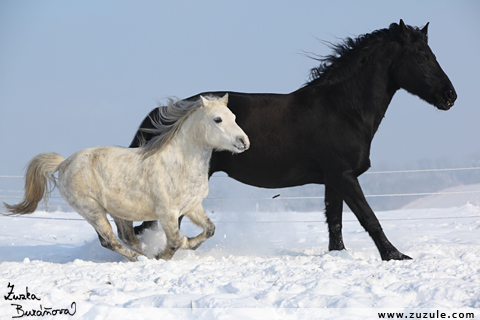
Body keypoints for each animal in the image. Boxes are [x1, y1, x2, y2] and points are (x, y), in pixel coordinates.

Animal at [4, 94, 251, 262]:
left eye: (234, 117)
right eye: (217, 119)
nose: (244, 142)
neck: (179, 163)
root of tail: (64, 163)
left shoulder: (192, 207)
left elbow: (209, 230)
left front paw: (186, 245)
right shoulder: (167, 213)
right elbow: (173, 241)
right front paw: (166, 254)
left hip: (119, 212)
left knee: (127, 237)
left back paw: (146, 254)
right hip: (92, 210)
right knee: (109, 240)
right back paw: (140, 258)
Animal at [126, 20, 454, 260]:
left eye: (433, 55)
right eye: (421, 57)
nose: (450, 96)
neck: (342, 108)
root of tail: (163, 115)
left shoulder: (333, 179)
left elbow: (335, 223)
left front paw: (339, 256)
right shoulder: (344, 176)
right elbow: (368, 217)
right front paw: (395, 256)